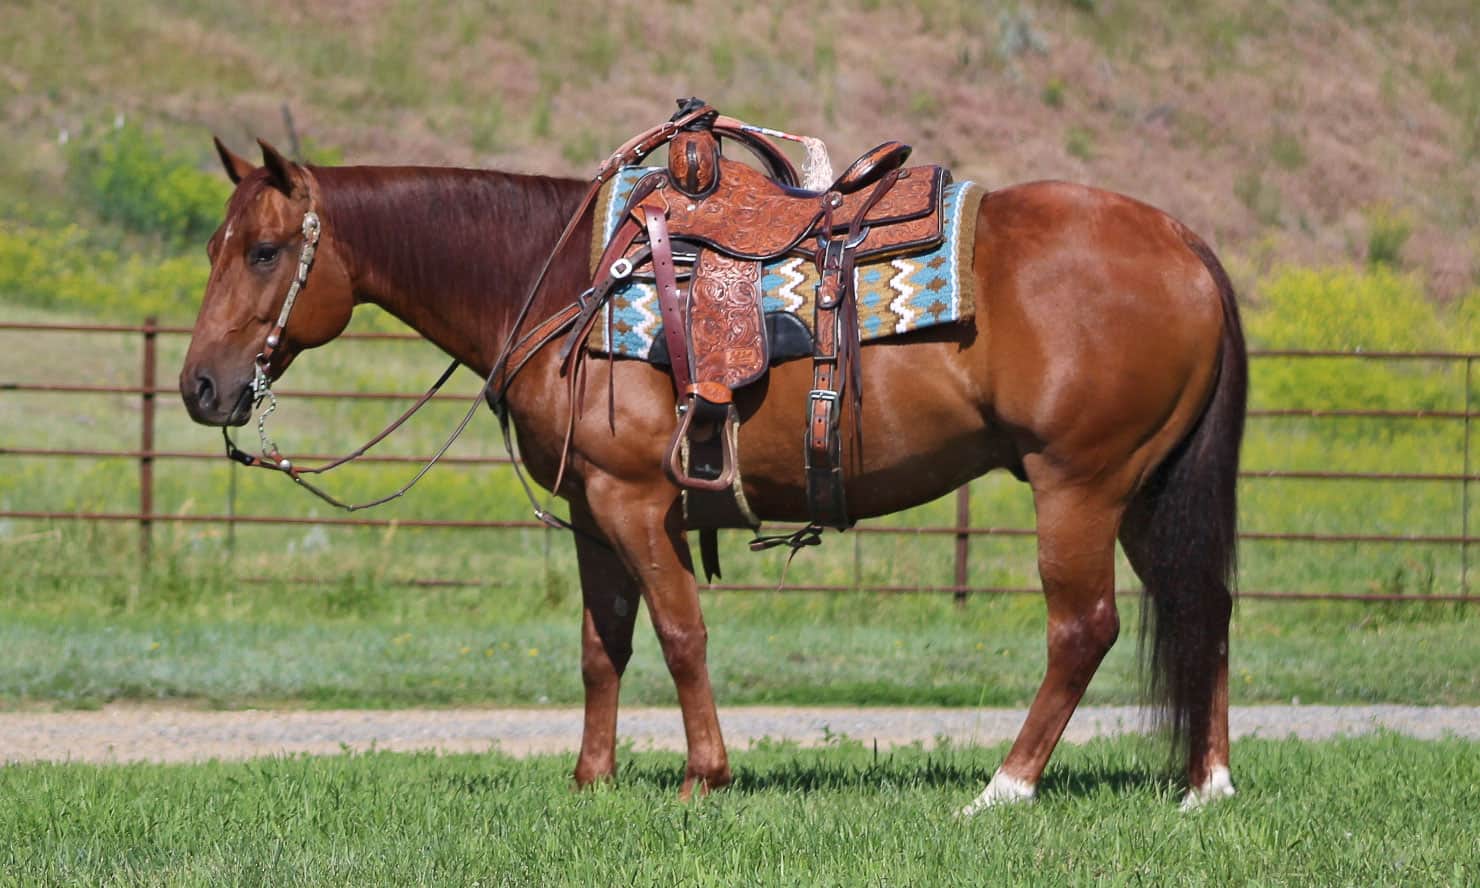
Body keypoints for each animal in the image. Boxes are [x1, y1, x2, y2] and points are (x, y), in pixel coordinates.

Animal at [180, 135, 1246, 812]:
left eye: (265, 251)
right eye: (217, 246)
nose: (201, 387)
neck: (560, 279)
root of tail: (1186, 243)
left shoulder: (634, 501)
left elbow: (680, 633)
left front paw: (704, 776)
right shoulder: (590, 511)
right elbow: (602, 646)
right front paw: (593, 780)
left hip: (1079, 487)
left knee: (1084, 630)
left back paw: (1006, 787)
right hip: (1147, 493)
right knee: (1203, 608)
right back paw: (1206, 786)